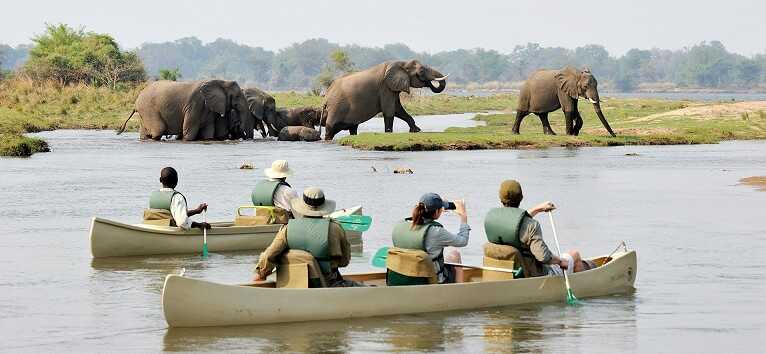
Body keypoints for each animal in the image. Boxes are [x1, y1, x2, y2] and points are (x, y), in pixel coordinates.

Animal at [115, 80, 256, 140]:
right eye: (237, 96)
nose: (245, 138)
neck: (221, 81)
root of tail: (136, 101)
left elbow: (208, 133)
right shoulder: (195, 104)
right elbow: (189, 131)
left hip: (144, 113)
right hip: (149, 109)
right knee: (158, 130)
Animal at [320, 59, 450, 140]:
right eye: (421, 71)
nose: (428, 82)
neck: (401, 62)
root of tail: (325, 97)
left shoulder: (392, 88)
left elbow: (398, 109)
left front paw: (416, 130)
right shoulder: (385, 88)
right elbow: (390, 111)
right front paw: (389, 133)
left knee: (352, 128)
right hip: (336, 108)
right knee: (330, 129)